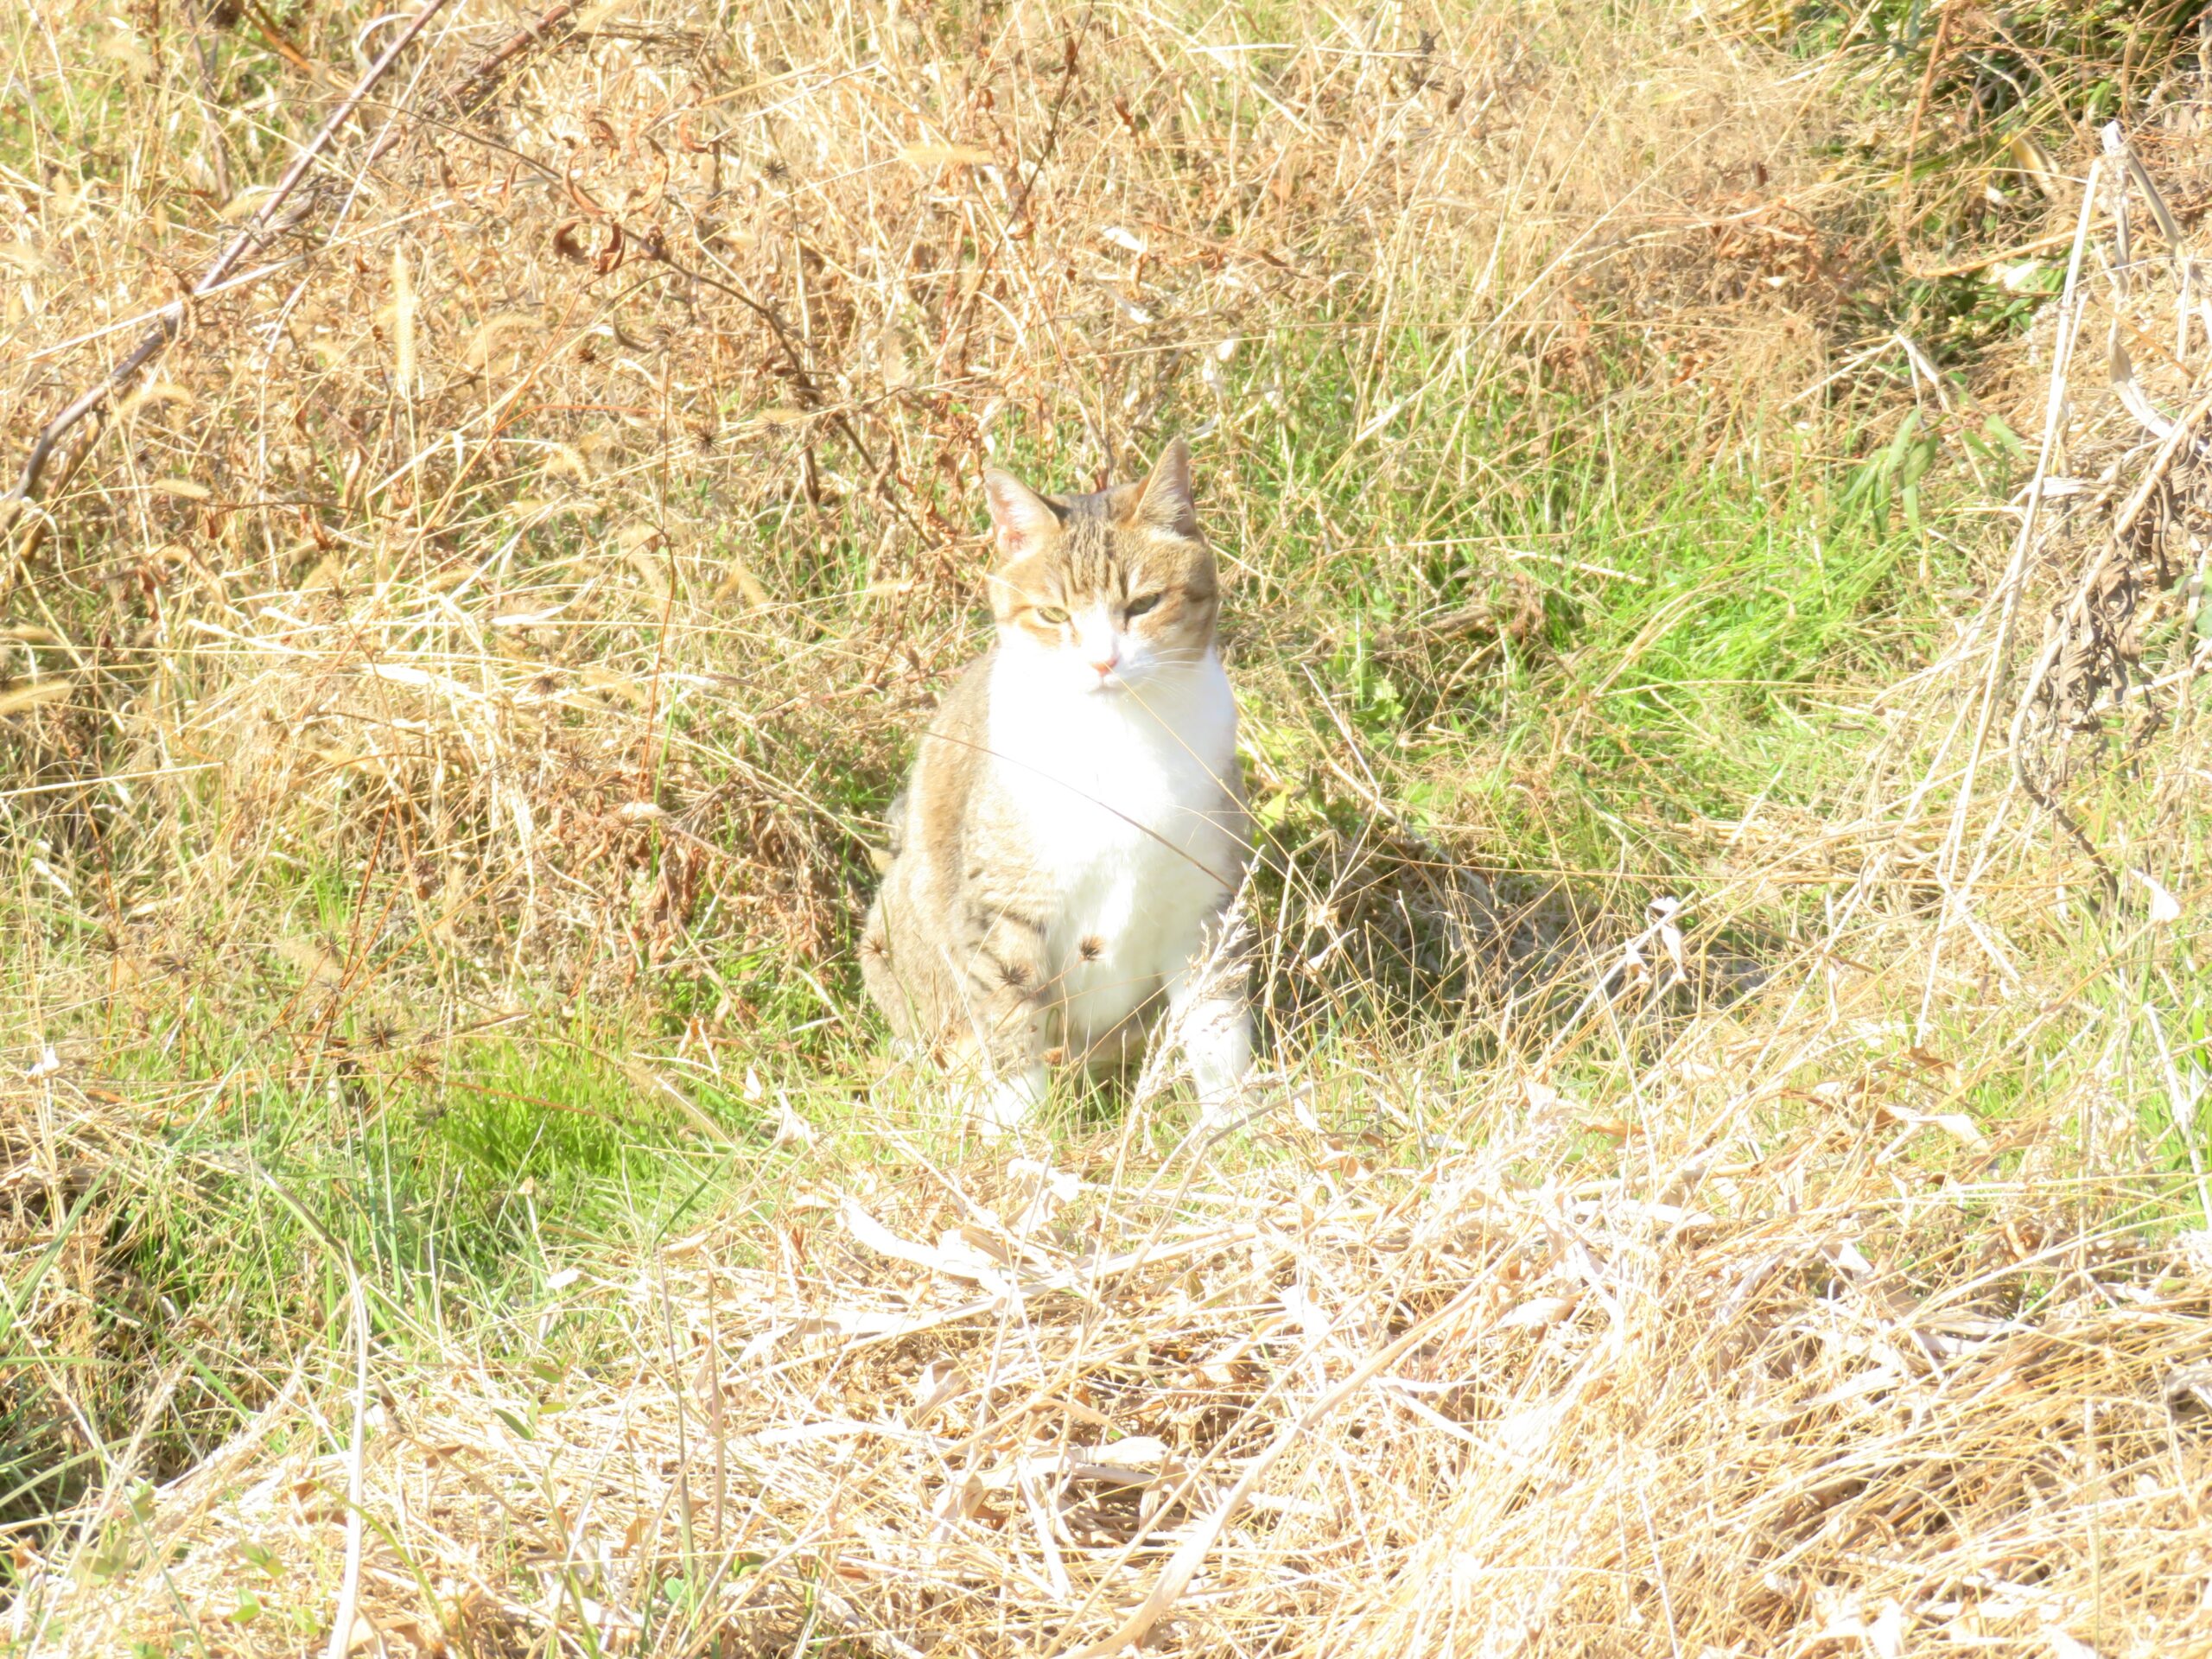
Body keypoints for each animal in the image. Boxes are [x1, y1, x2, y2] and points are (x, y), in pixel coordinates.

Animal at [858, 435, 1256, 1141]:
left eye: (1145, 604)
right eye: (1052, 614)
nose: (1102, 661)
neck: (1119, 737)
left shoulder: (1204, 900)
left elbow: (1217, 1028)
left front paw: (1234, 1131)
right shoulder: (1005, 912)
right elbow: (1013, 1025)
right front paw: (1021, 1142)